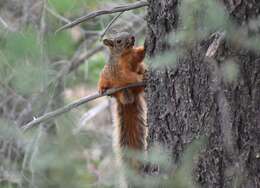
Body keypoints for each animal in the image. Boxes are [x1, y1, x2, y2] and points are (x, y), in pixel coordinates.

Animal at [97, 32, 146, 172]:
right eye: (118, 41)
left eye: (128, 33)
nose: (133, 37)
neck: (125, 55)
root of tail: (127, 100)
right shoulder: (119, 71)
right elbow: (128, 76)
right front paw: (139, 77)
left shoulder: (134, 56)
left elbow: (139, 56)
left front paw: (145, 45)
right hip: (104, 77)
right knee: (105, 83)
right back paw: (103, 89)